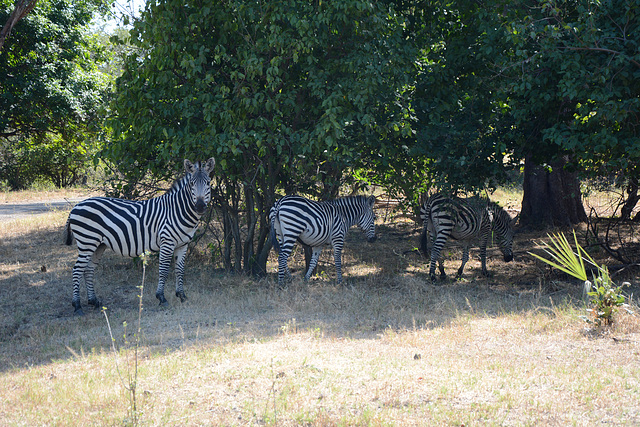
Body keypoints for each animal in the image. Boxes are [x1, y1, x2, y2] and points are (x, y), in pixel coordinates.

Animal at [63, 159, 216, 316]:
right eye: (192, 183)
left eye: (208, 183)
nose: (200, 206)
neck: (177, 210)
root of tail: (76, 206)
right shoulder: (167, 242)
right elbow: (164, 270)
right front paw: (161, 297)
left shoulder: (183, 244)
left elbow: (180, 270)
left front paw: (182, 296)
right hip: (87, 242)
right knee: (77, 270)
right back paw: (77, 306)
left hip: (98, 245)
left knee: (88, 269)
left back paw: (94, 301)